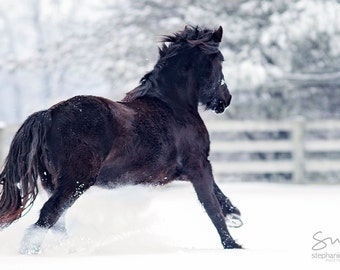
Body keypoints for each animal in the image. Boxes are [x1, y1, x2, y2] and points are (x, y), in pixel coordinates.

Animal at [1, 25, 243, 253]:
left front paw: (235, 215)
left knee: (57, 223)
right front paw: (233, 244)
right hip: (76, 181)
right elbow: (211, 205)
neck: (175, 105)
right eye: (220, 60)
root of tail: (49, 114)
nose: (226, 99)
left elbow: (217, 194)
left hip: (53, 183)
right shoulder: (197, 165)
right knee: (46, 219)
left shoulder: (183, 171)